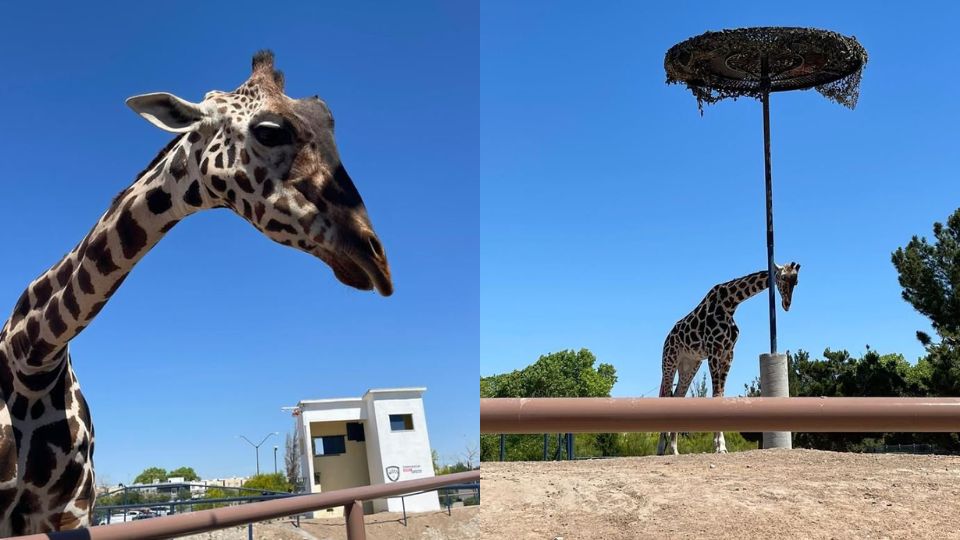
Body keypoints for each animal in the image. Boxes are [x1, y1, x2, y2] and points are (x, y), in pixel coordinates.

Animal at [652, 262, 804, 456]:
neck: (730, 303)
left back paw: (674, 449)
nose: (786, 304)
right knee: (665, 395)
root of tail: (667, 338)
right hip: (669, 360)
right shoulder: (714, 351)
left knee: (677, 396)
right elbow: (716, 396)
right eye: (783, 277)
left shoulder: (728, 354)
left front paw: (721, 445)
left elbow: (721, 396)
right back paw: (660, 448)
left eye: (796, 281)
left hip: (690, 365)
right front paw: (719, 446)